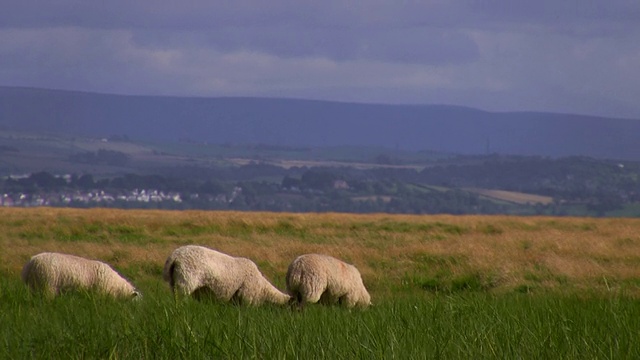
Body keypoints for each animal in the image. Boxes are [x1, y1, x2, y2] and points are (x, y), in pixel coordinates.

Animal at [162, 243, 290, 306]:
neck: (264, 289)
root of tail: (174, 257)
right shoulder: (246, 297)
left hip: (174, 281)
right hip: (185, 280)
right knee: (180, 299)